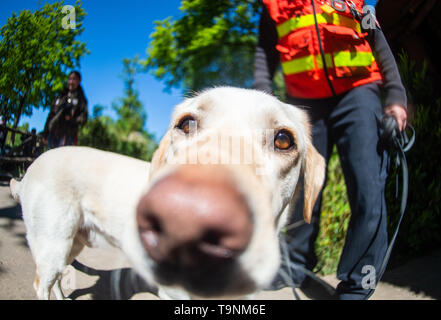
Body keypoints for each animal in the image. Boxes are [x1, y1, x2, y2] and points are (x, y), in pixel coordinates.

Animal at [9, 87, 324, 300]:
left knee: (55, 283)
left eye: (283, 140)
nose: (185, 218)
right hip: (54, 243)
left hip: (71, 244)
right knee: (42, 283)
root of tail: (33, 165)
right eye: (186, 123)